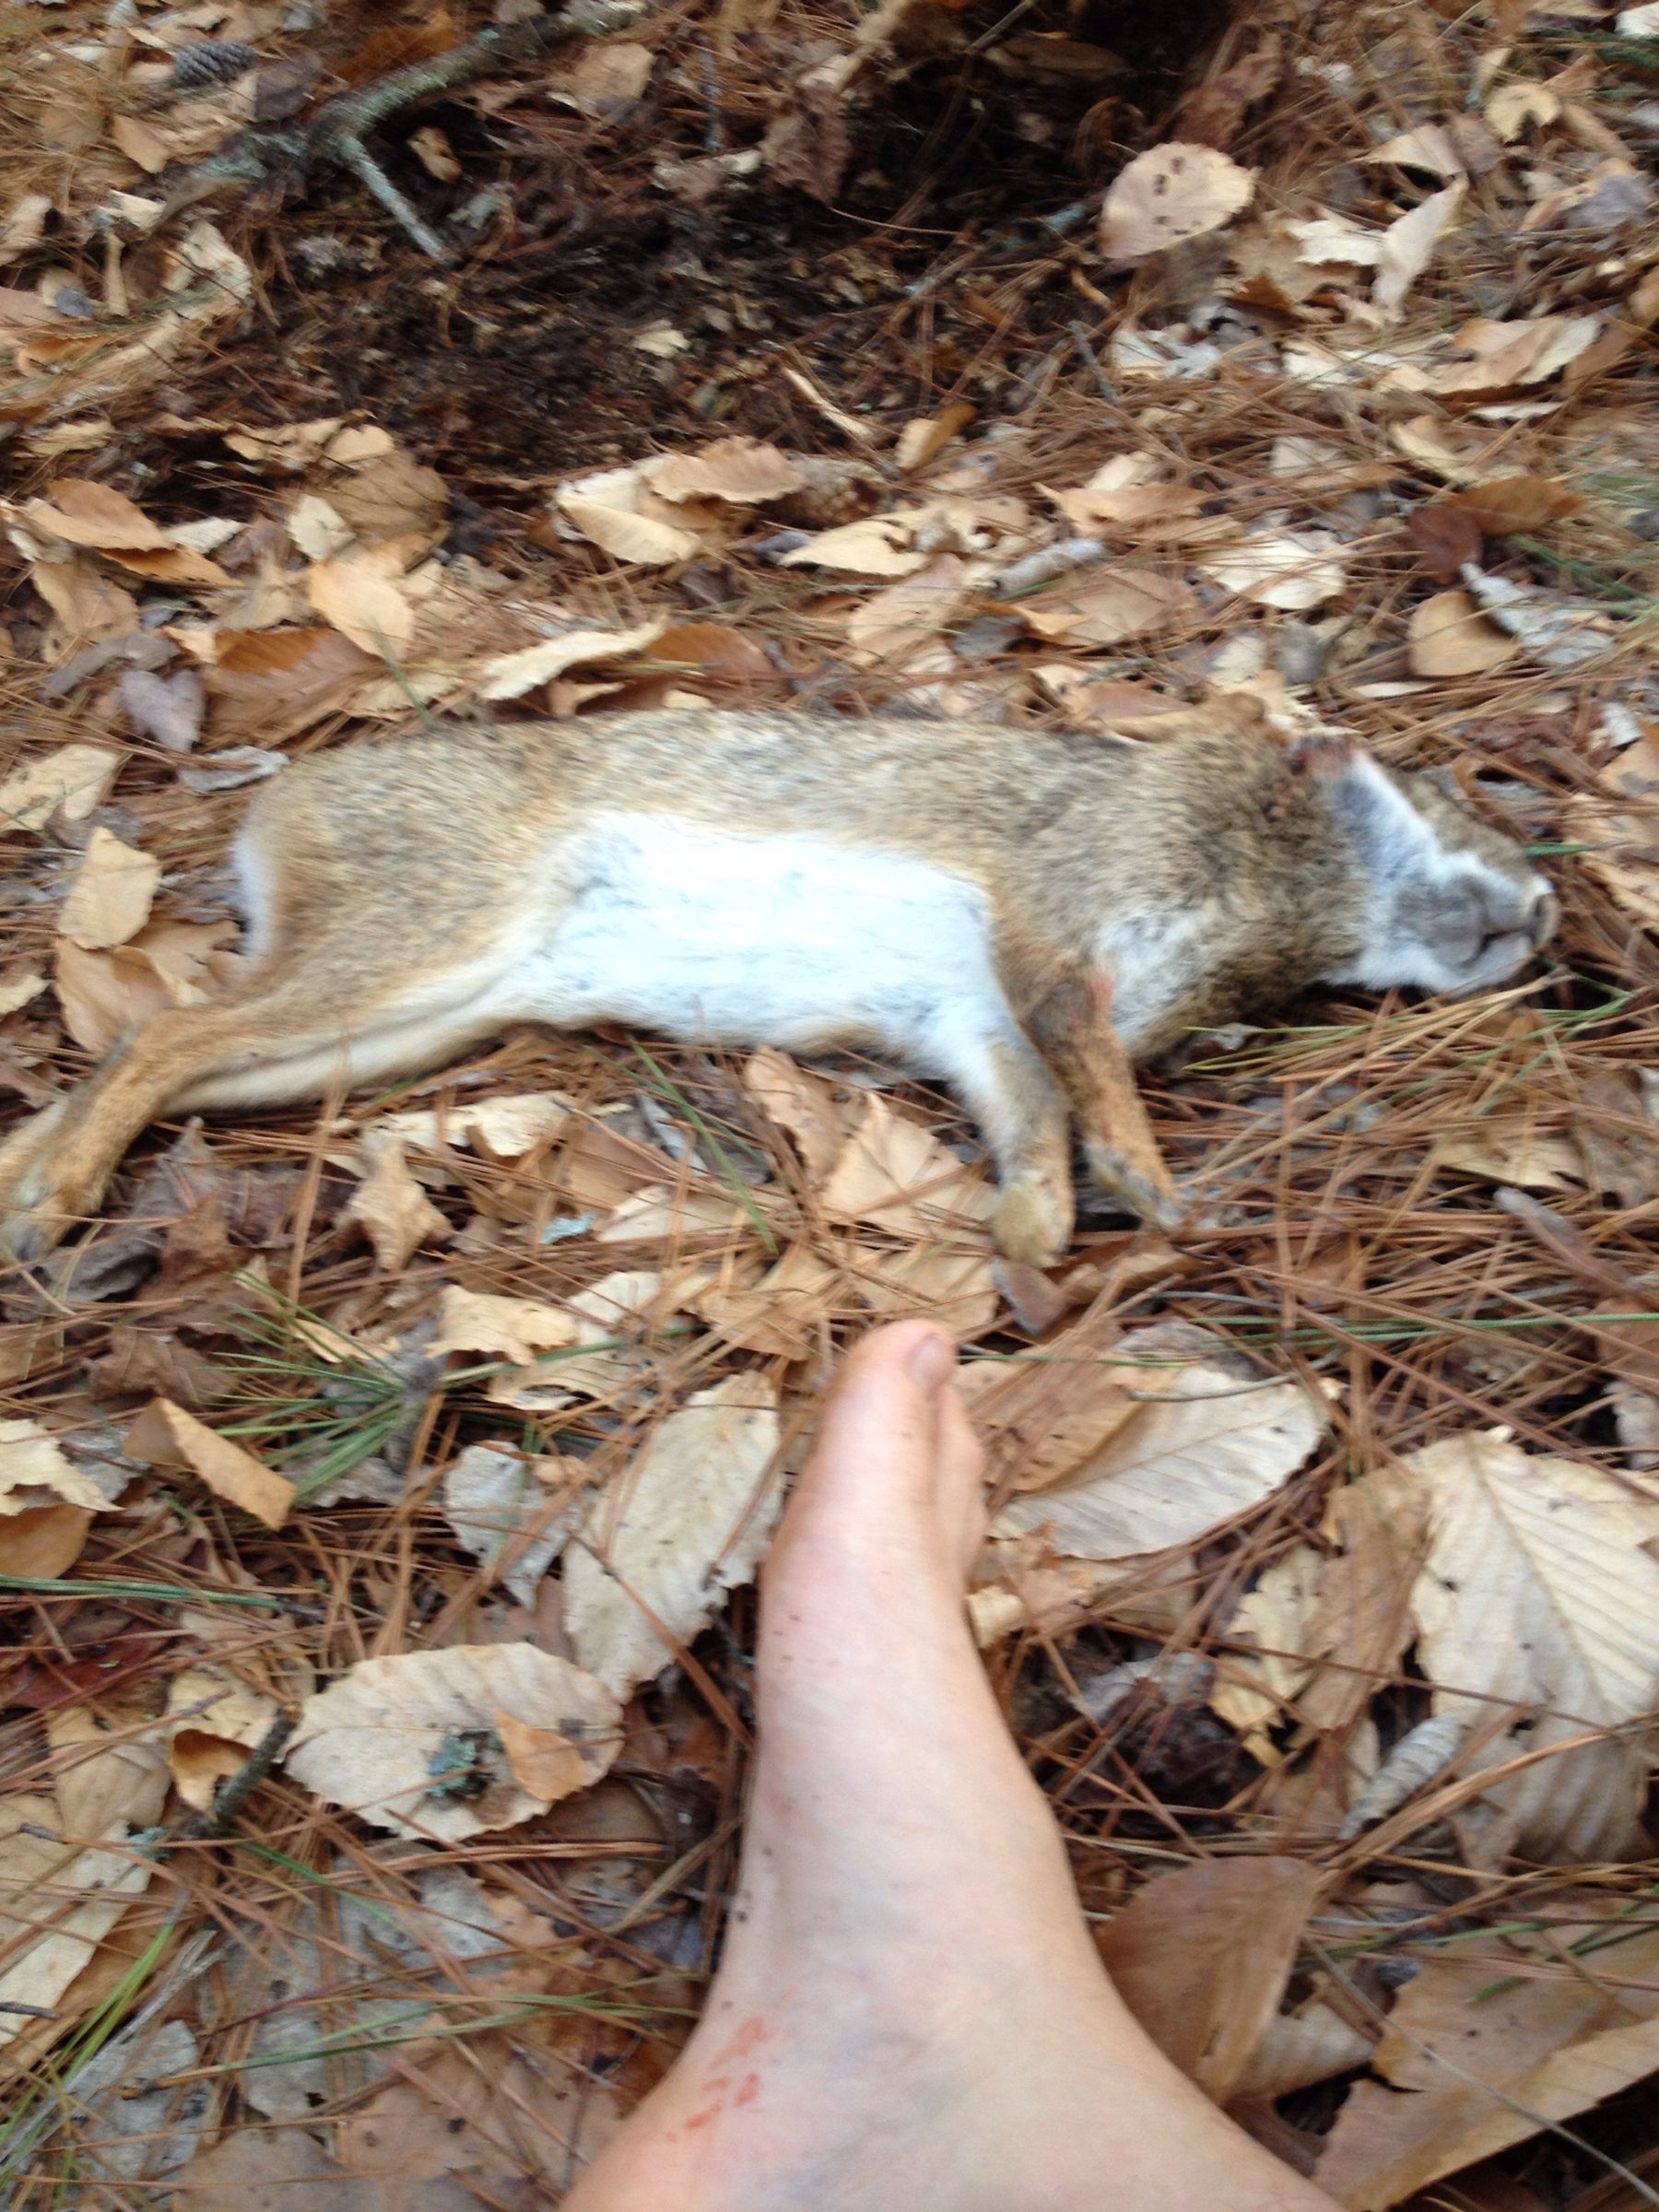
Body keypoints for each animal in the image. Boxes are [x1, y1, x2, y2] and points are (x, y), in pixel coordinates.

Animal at [0, 709, 1557, 1270]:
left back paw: (27, 1183)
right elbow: (1085, 1078)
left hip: (400, 1024)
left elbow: (1033, 1119)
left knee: (160, 1061)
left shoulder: (980, 1022)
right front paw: (1155, 1192)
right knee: (164, 1033)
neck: (1281, 882)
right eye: (1456, 797)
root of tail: (275, 816)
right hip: (421, 941)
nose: (1544, 908)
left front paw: (1033, 1230)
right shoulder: (1060, 920)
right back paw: (53, 1203)